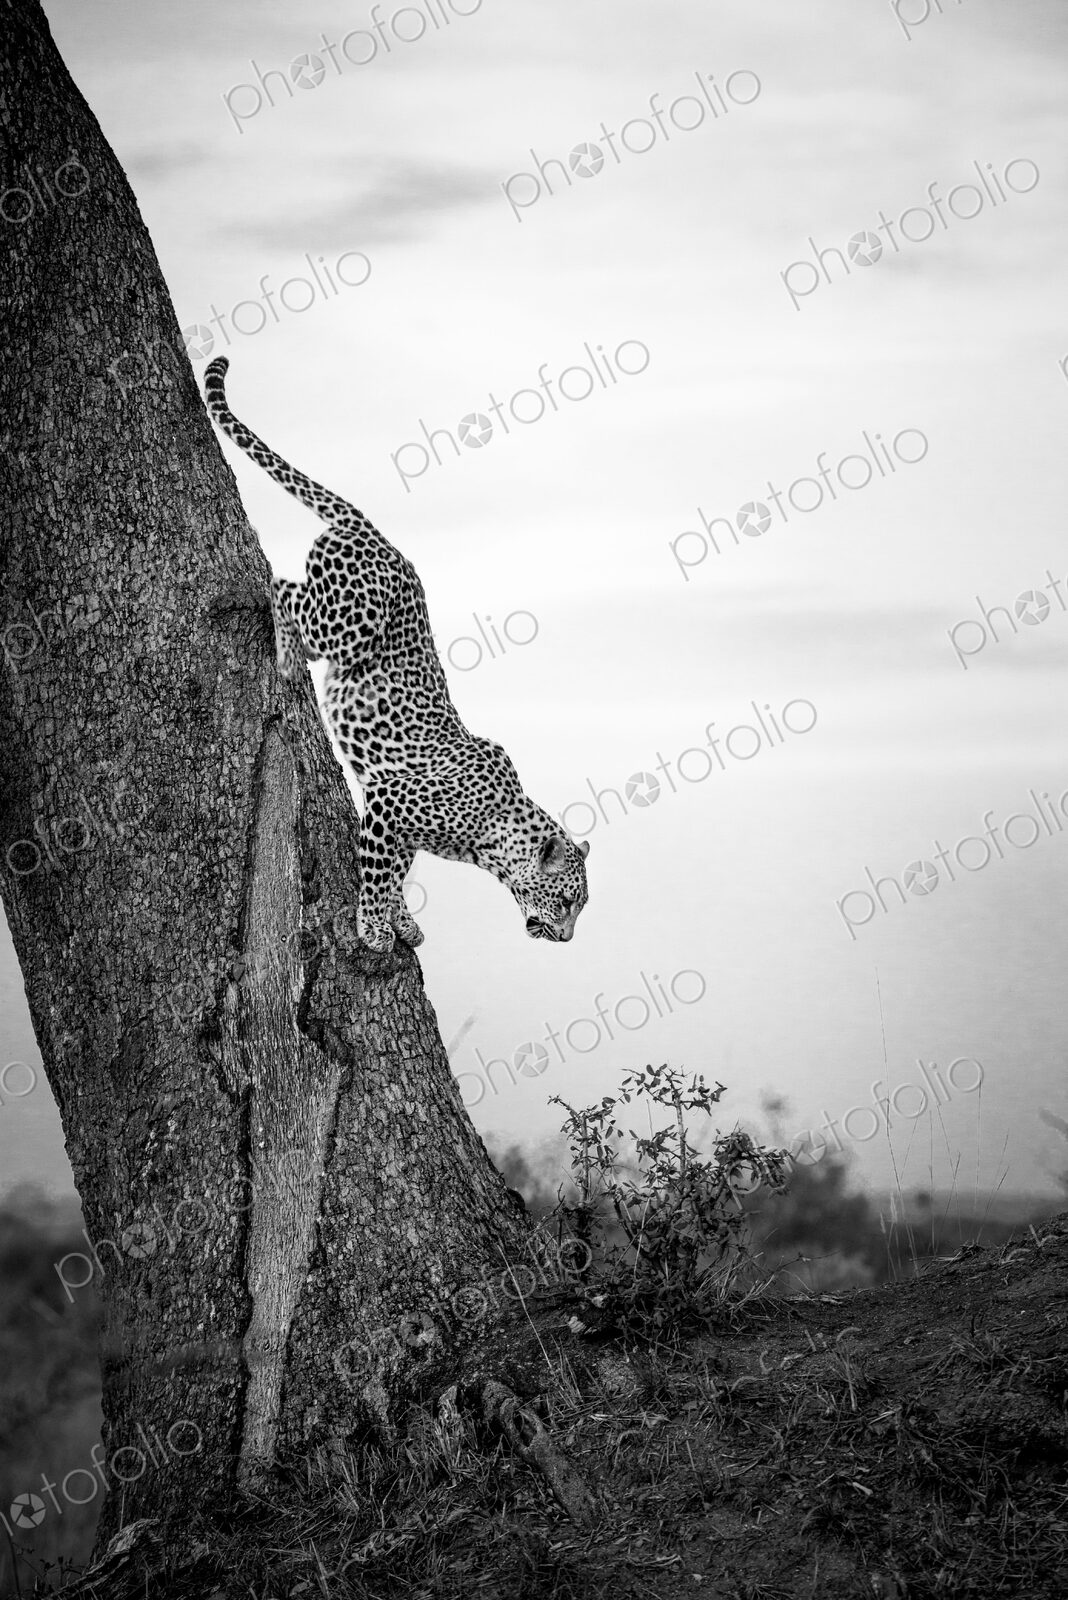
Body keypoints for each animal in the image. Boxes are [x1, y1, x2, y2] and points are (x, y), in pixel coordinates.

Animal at [204, 356, 589, 954]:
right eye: (568, 901)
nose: (567, 939)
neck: (493, 837)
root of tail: (375, 531)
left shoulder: (397, 823)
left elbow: (395, 871)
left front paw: (400, 920)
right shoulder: (388, 801)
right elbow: (376, 873)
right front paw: (373, 927)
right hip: (347, 623)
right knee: (282, 586)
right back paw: (287, 658)